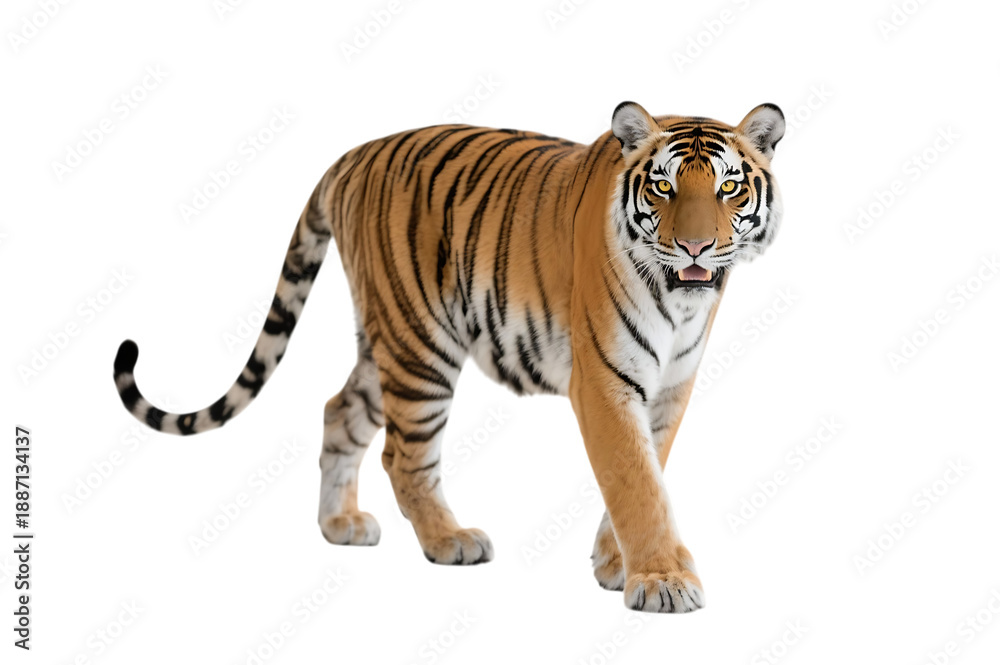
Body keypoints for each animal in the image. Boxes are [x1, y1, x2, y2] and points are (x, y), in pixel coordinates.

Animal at [113, 101, 784, 613]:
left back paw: (340, 526)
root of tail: (350, 156)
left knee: (338, 409)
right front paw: (664, 582)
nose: (696, 246)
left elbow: (652, 469)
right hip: (419, 346)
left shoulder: (671, 386)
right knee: (403, 456)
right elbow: (637, 482)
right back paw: (449, 539)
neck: (681, 301)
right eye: (663, 186)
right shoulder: (605, 382)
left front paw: (618, 563)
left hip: (385, 343)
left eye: (728, 186)